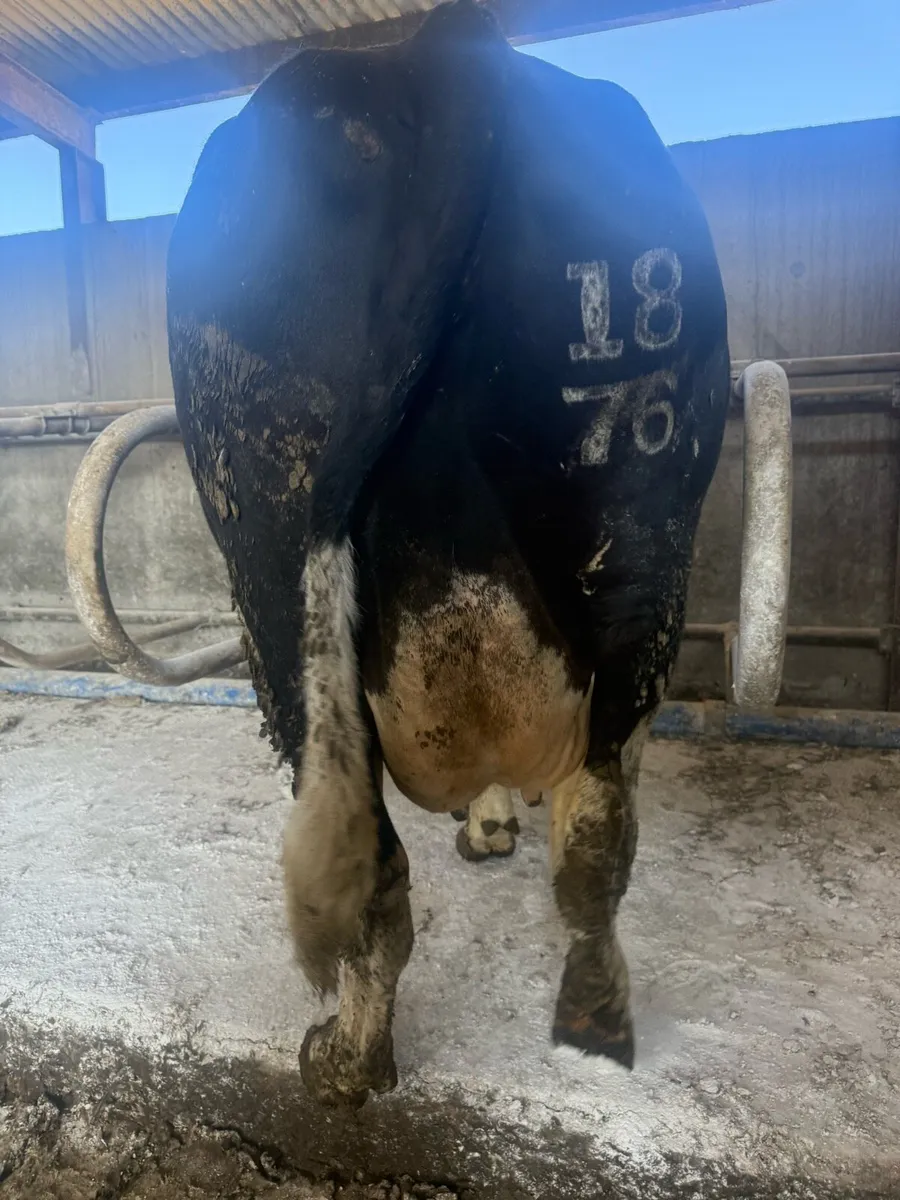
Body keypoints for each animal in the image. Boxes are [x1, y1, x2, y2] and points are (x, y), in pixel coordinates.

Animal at [167, 0, 730, 1109]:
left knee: (374, 873)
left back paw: (345, 1062)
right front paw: (494, 823)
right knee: (598, 835)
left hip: (267, 568)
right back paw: (596, 1023)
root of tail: (441, 54)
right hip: (643, 551)